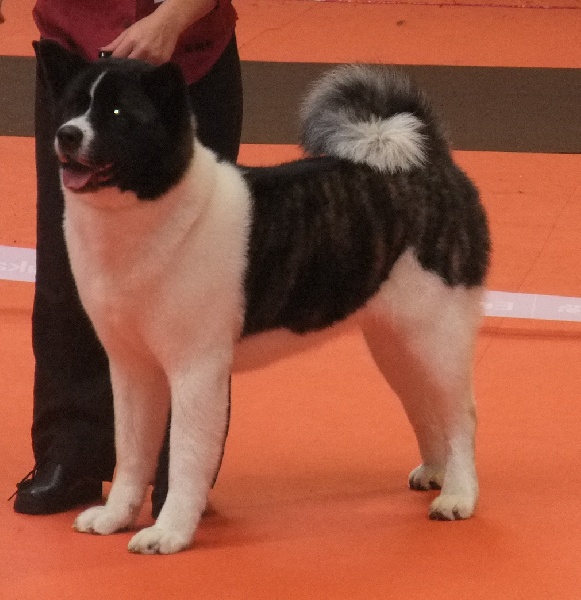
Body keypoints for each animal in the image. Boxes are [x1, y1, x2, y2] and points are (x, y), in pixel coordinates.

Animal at [35, 39, 490, 554]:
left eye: (115, 113)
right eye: (72, 105)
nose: (68, 135)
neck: (152, 213)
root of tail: (431, 160)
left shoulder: (196, 371)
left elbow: (187, 455)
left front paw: (169, 532)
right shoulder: (133, 367)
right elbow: (131, 451)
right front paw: (115, 517)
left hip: (438, 334)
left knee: (461, 416)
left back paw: (458, 495)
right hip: (396, 342)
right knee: (424, 405)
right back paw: (436, 472)